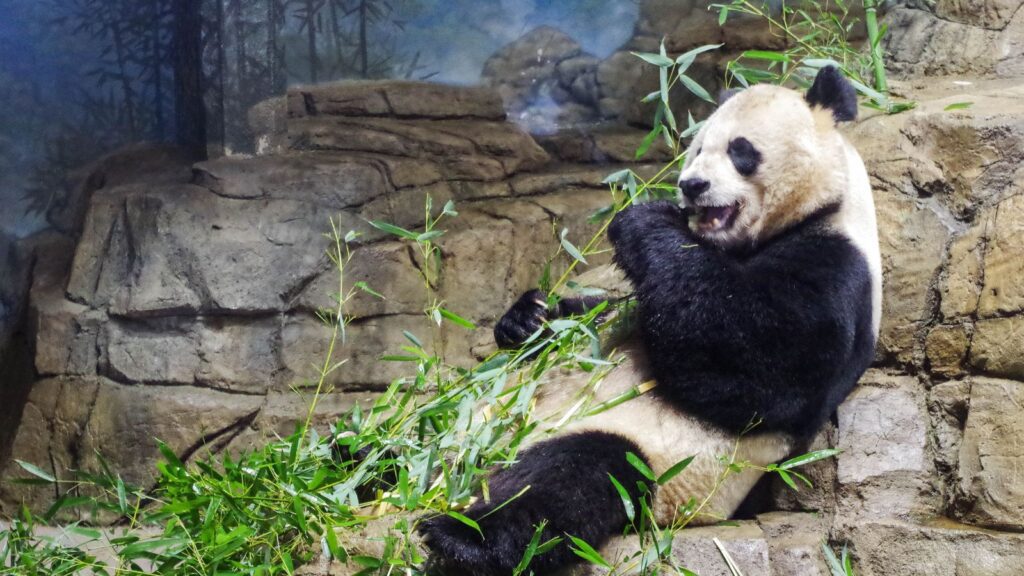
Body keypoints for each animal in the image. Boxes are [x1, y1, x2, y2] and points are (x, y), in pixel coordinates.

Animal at [415, 67, 880, 573]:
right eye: (697, 148)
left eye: (741, 150)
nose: (691, 185)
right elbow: (603, 312)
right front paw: (527, 319)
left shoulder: (837, 269)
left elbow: (757, 367)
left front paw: (645, 220)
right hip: (455, 425)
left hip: (656, 466)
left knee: (572, 475)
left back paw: (463, 537)